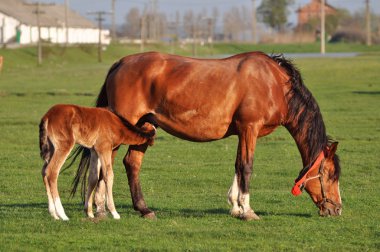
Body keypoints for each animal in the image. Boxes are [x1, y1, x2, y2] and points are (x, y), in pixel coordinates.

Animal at [74, 51, 342, 220]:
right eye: (329, 175)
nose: (337, 209)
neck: (274, 84)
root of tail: (121, 63)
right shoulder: (250, 128)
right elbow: (247, 167)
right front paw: (248, 211)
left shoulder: (242, 131)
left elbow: (237, 165)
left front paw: (235, 207)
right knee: (105, 163)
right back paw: (101, 209)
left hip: (143, 127)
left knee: (131, 163)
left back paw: (142, 209)